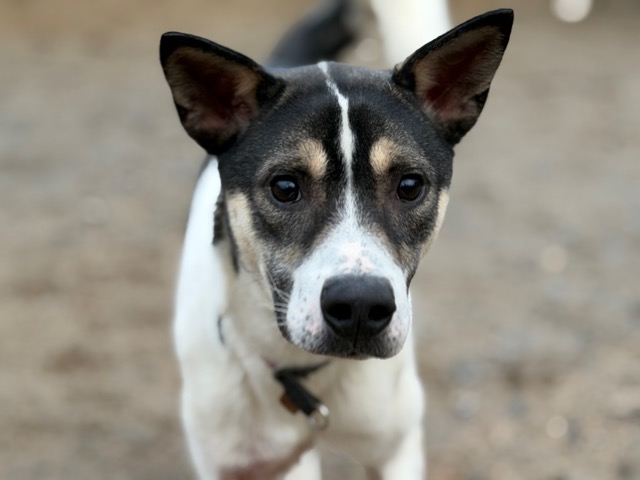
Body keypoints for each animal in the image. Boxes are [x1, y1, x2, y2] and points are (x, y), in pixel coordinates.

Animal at [160, 1, 513, 478]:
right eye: (285, 187)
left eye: (410, 186)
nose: (361, 306)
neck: (303, 376)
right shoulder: (231, 463)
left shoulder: (397, 448)